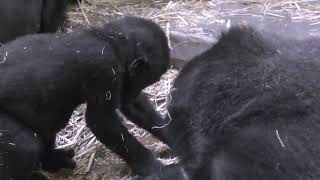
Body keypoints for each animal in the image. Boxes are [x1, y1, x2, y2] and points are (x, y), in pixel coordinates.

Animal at [0, 16, 170, 179]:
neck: (107, 40)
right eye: (149, 80)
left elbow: (136, 109)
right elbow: (102, 121)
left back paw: (53, 160)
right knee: (25, 146)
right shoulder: (106, 69)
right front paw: (153, 167)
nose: (133, 93)